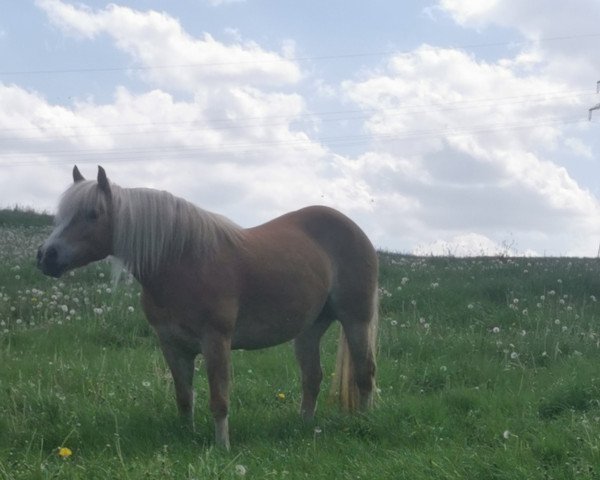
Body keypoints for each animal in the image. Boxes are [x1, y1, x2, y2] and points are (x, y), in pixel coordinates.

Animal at [36, 166, 380, 450]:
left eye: (93, 214)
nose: (45, 256)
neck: (182, 262)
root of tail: (355, 229)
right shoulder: (172, 344)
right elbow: (184, 396)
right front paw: (185, 437)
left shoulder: (216, 341)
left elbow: (219, 399)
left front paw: (222, 447)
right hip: (310, 329)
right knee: (312, 377)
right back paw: (304, 427)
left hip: (356, 320)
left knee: (365, 372)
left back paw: (363, 423)